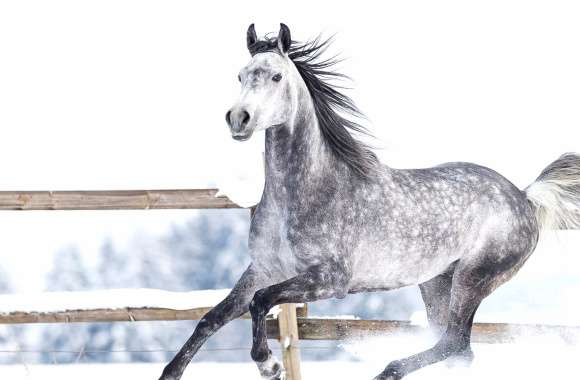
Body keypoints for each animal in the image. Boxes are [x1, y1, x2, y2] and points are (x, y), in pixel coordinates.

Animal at [161, 24, 580, 380]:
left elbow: (261, 303)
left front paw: (269, 365)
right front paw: (171, 372)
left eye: (276, 77)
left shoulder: (330, 279)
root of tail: (524, 197)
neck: (306, 191)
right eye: (241, 75)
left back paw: (386, 371)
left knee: (454, 342)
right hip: (435, 282)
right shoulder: (262, 270)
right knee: (460, 352)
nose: (239, 118)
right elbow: (212, 318)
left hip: (474, 277)